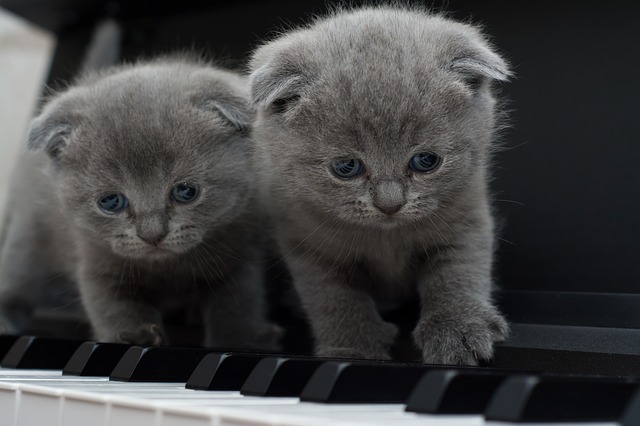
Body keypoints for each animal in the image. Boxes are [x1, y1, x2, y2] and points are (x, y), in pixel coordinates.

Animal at [0, 58, 280, 352]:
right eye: (111, 202)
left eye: (186, 191)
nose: (152, 234)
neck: (168, 269)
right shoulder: (95, 261)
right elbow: (112, 307)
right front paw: (135, 336)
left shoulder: (240, 250)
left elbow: (238, 306)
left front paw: (242, 341)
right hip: (29, 238)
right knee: (15, 282)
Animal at [249, 5, 510, 366]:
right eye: (346, 168)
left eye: (426, 161)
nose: (390, 203)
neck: (386, 238)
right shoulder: (304, 239)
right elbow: (333, 297)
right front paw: (352, 348)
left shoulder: (466, 214)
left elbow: (459, 271)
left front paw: (458, 330)